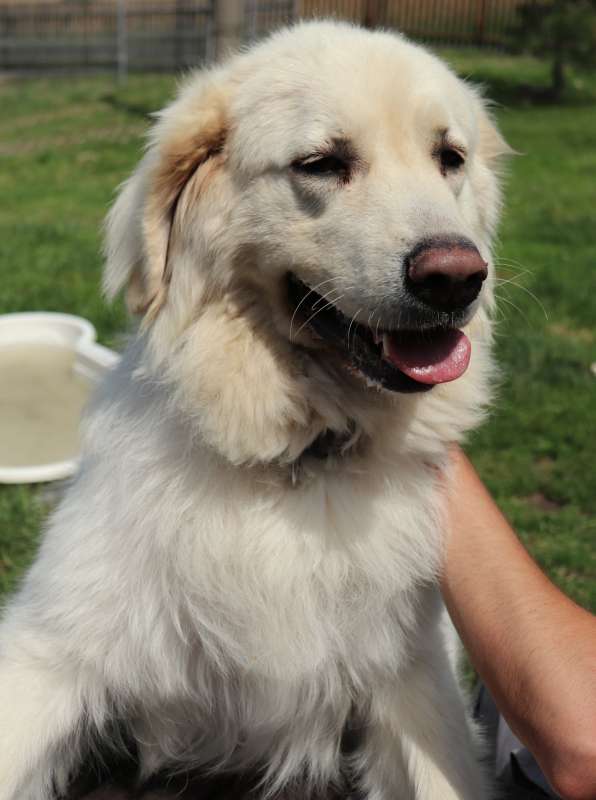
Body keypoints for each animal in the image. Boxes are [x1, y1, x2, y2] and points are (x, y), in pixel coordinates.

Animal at [0, 21, 510, 800]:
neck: (296, 459)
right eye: (322, 163)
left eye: (448, 158)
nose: (457, 277)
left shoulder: (416, 686)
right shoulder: (51, 651)